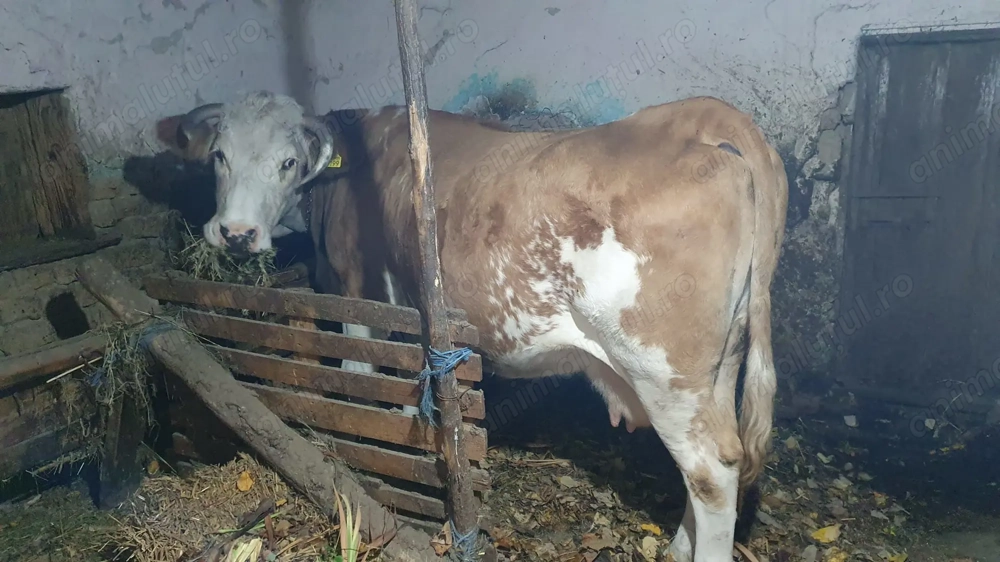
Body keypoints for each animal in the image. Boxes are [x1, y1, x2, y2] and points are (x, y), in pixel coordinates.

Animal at [162, 90, 788, 562]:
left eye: (287, 162)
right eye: (220, 156)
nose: (235, 233)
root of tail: (700, 118)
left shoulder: (359, 298)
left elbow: (361, 388)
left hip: (665, 368)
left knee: (711, 470)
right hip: (718, 365)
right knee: (714, 458)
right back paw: (680, 545)